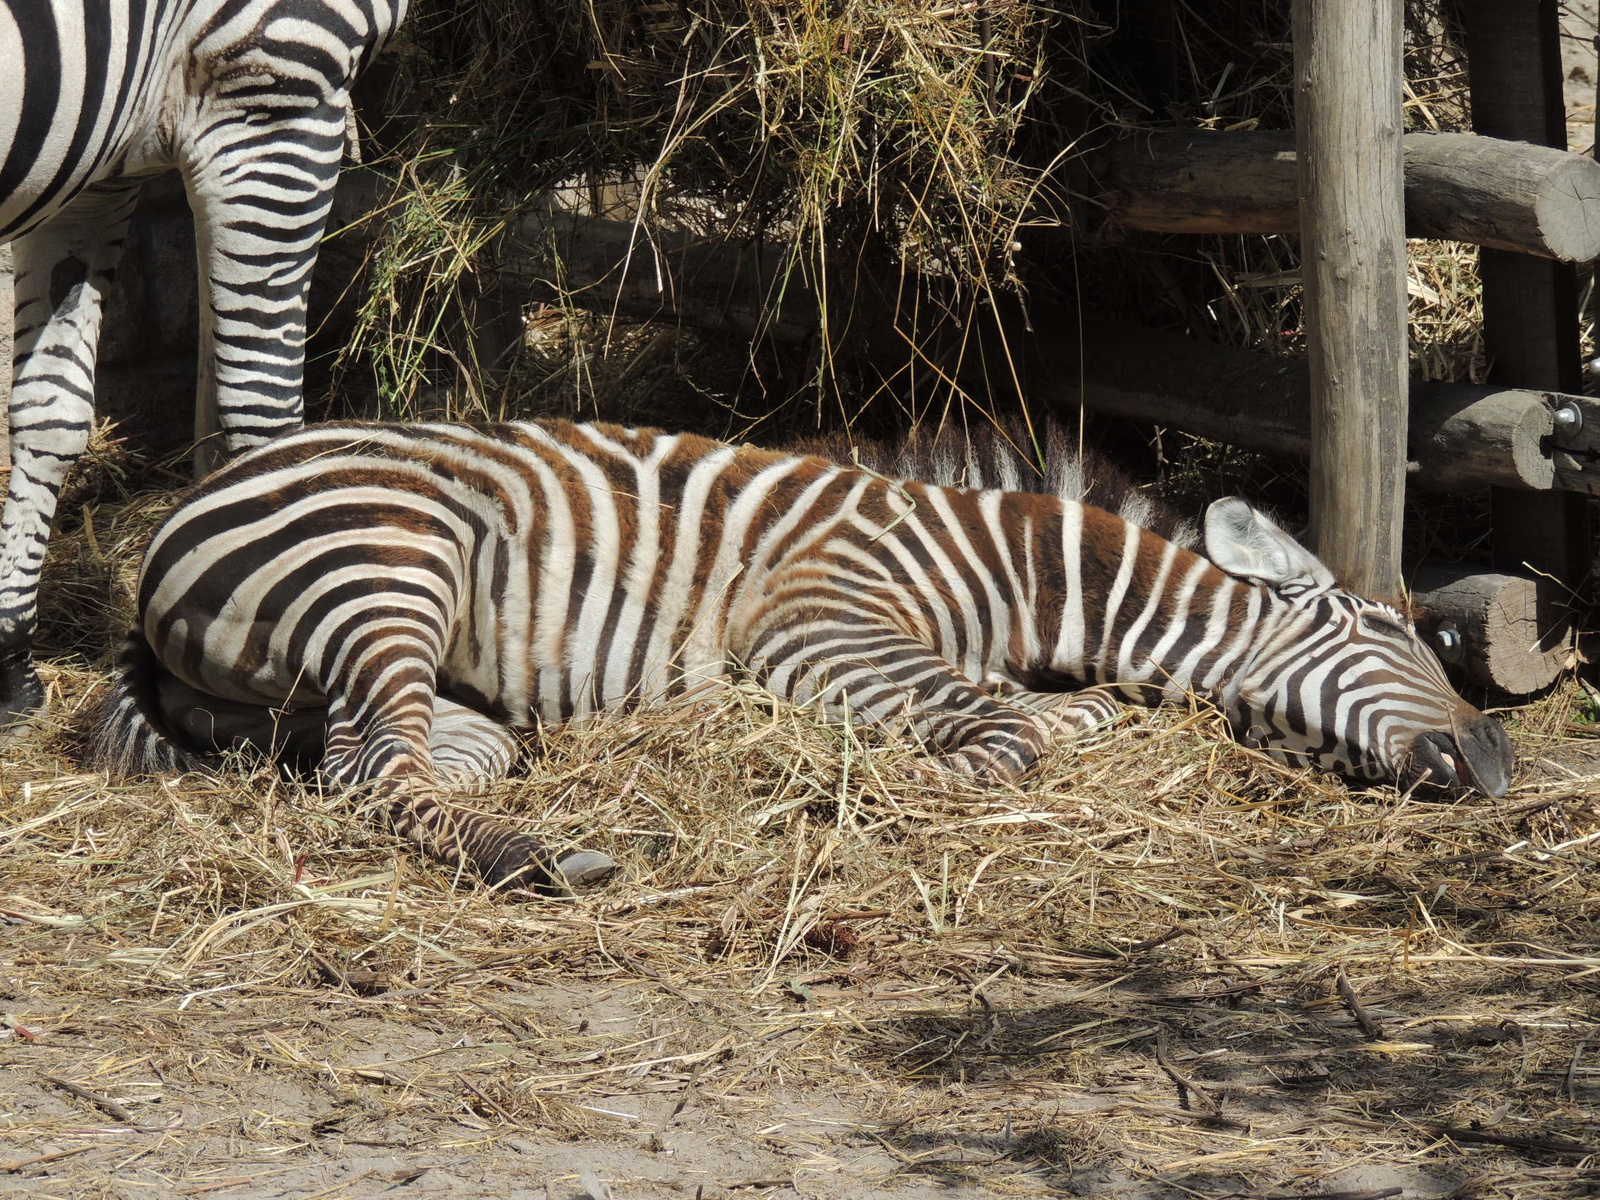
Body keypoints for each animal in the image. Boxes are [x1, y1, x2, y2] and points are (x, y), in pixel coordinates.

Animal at [93, 422, 1516, 896]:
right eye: (1393, 632)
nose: (1499, 760)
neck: (1022, 578)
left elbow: (1061, 717)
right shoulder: (818, 617)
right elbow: (1001, 733)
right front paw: (875, 790)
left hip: (414, 677)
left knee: (371, 759)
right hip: (389, 564)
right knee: (370, 776)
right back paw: (554, 858)